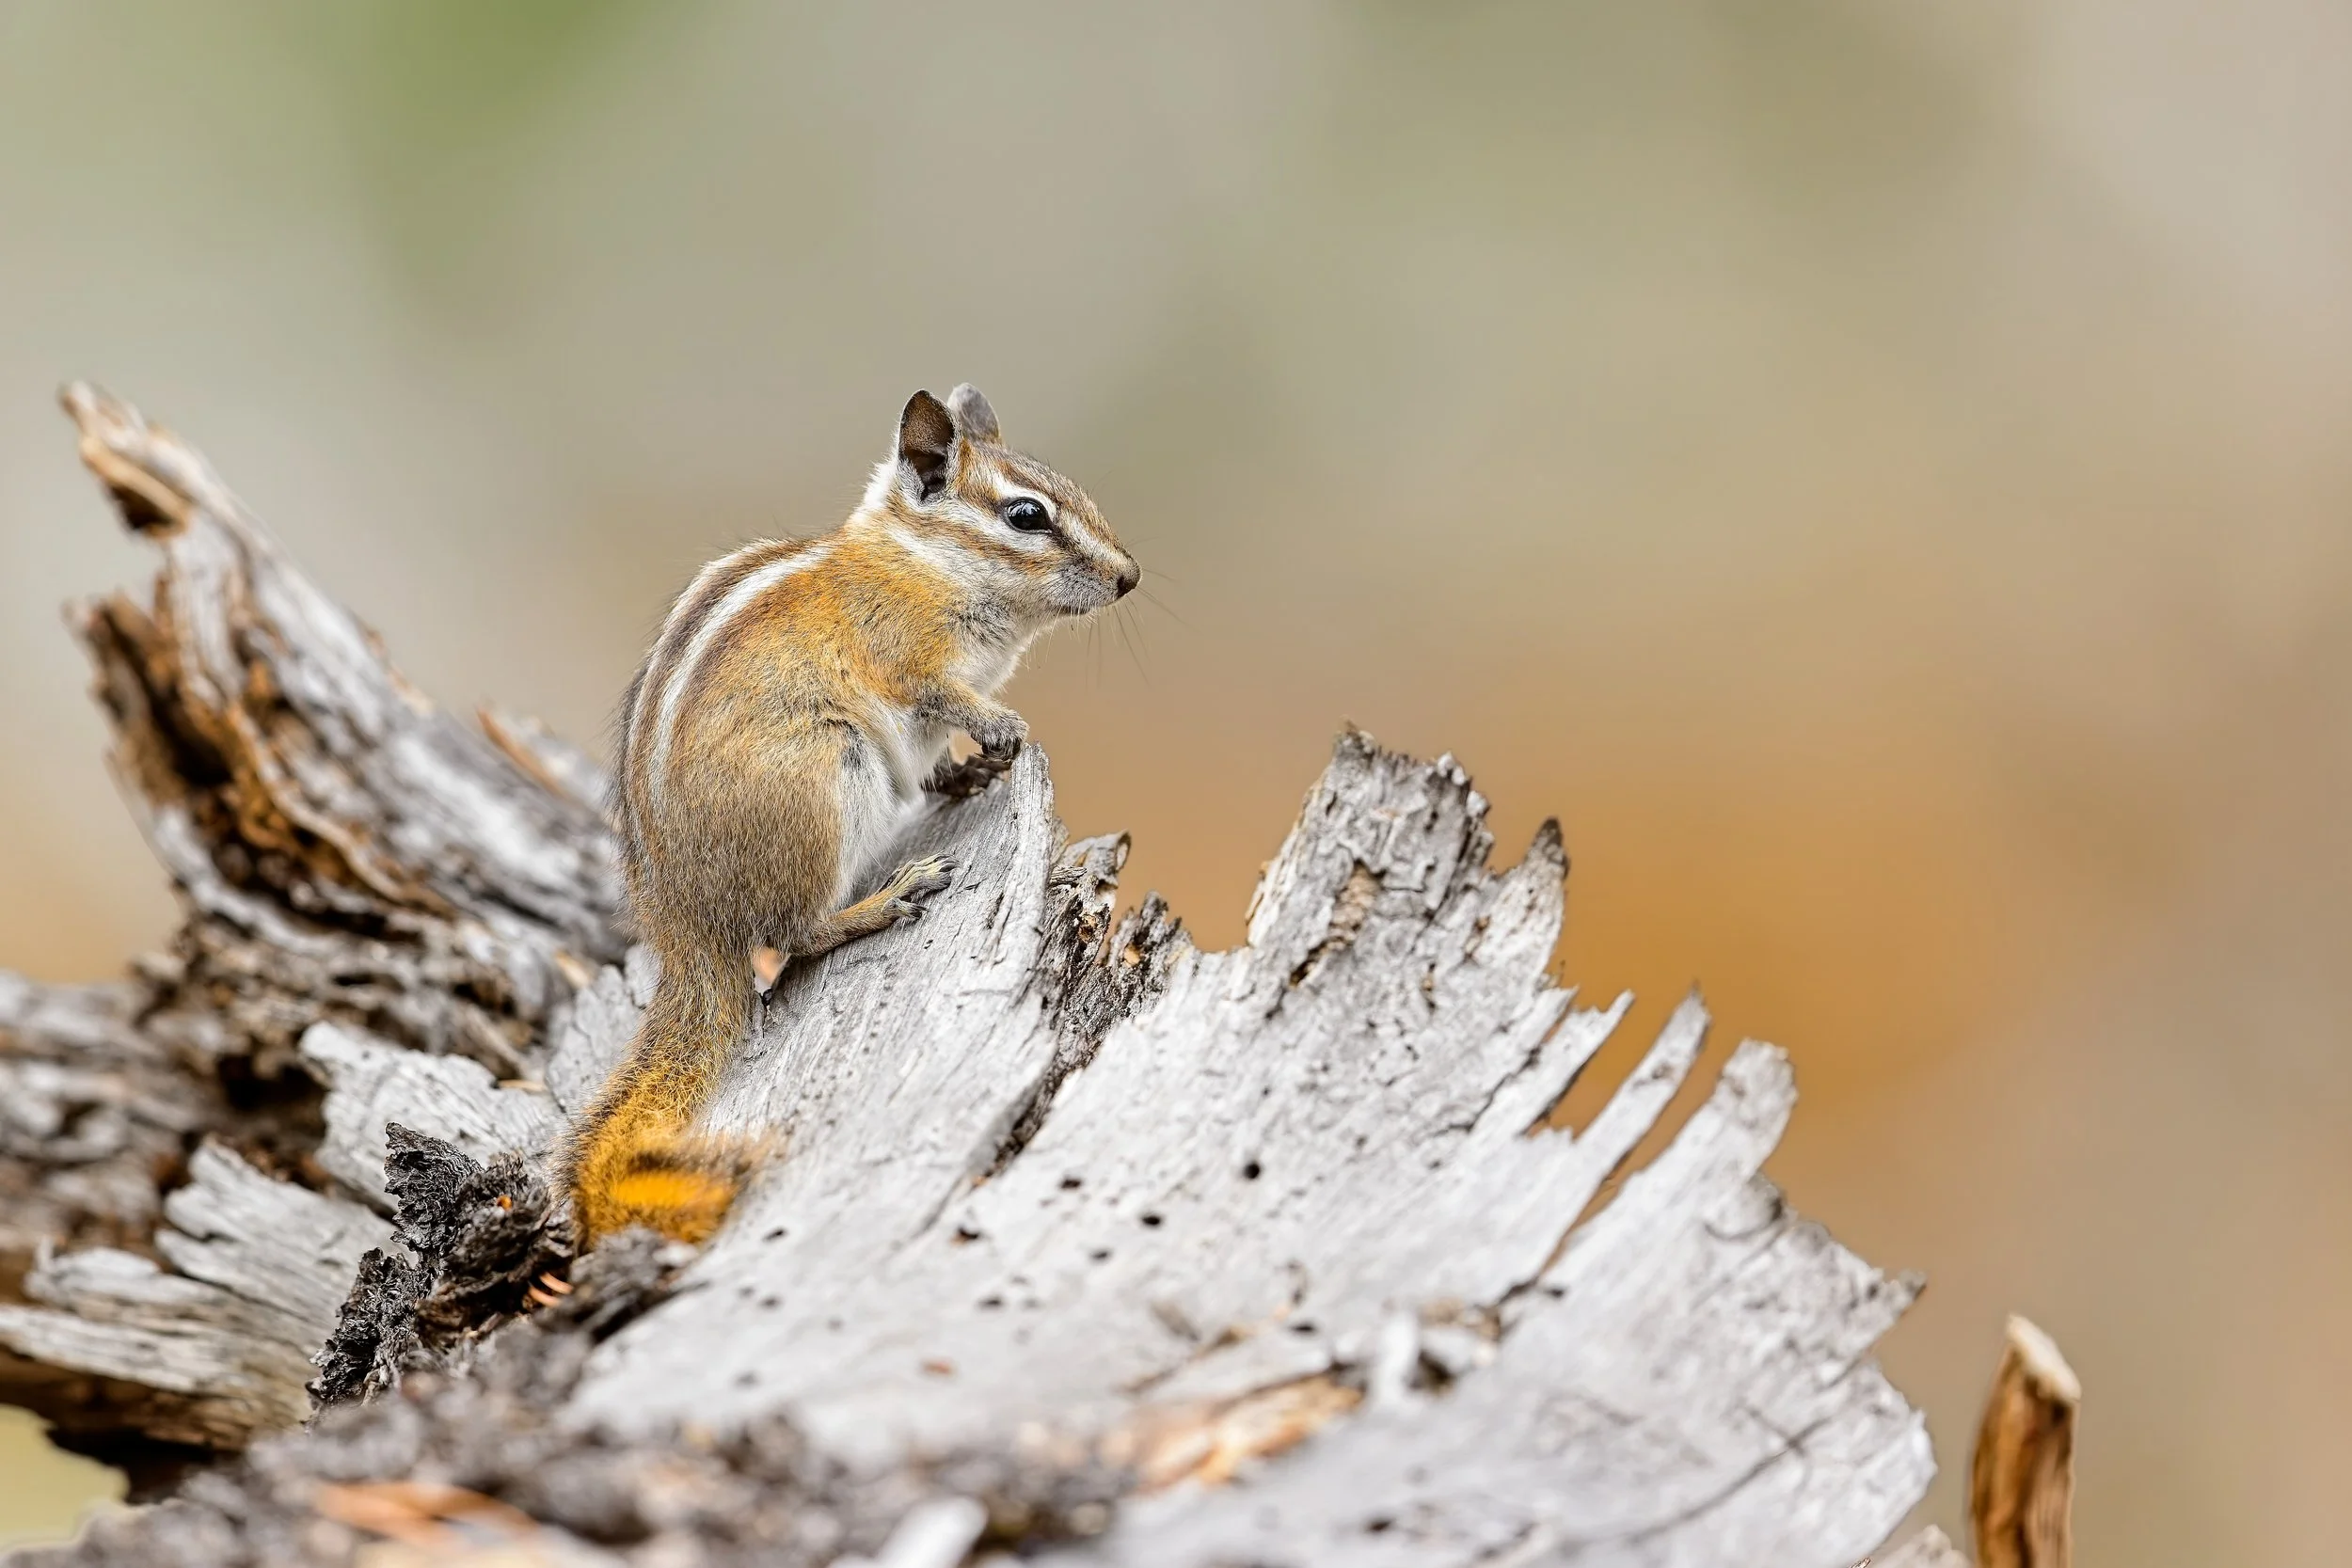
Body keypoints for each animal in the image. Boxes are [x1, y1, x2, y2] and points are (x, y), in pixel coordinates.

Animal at [565, 384, 1138, 1247]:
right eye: (1027, 515)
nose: (1129, 576)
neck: (922, 562)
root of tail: (685, 925)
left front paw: (971, 766)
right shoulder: (909, 660)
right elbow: (942, 694)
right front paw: (1001, 728)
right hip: (829, 776)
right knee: (793, 934)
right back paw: (884, 899)